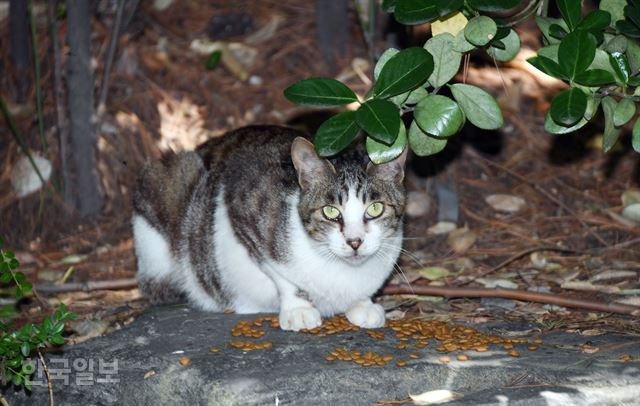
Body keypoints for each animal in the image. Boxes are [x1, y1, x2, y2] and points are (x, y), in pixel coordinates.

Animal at [132, 125, 408, 332]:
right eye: (330, 212)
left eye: (375, 209)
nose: (354, 241)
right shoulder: (241, 208)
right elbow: (279, 273)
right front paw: (298, 308)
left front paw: (363, 303)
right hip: (170, 183)